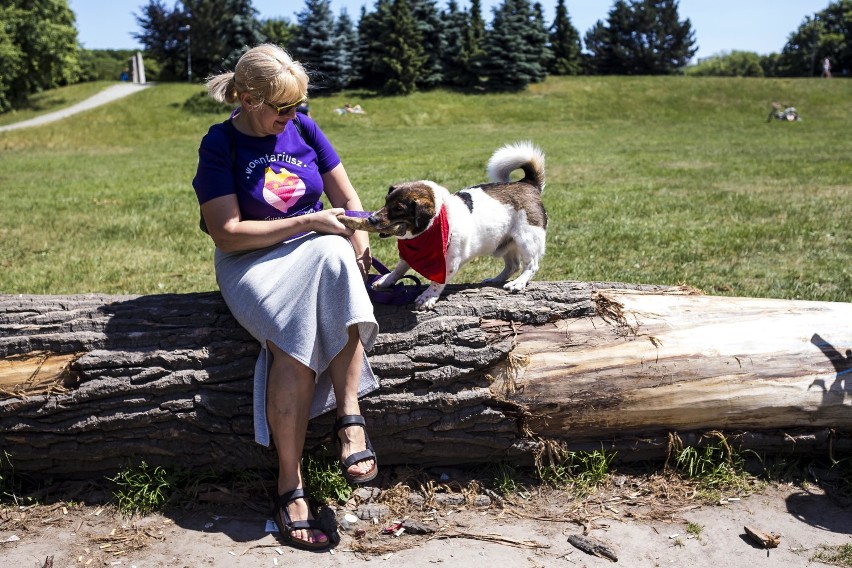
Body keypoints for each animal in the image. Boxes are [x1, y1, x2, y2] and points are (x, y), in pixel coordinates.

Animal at [366, 141, 544, 310]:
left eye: (398, 208)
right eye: (386, 201)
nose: (371, 219)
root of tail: (528, 183)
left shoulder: (450, 263)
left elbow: (437, 282)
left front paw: (427, 297)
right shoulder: (408, 257)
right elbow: (399, 269)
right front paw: (386, 280)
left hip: (527, 239)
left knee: (531, 265)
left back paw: (518, 282)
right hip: (504, 243)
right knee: (513, 265)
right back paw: (495, 279)